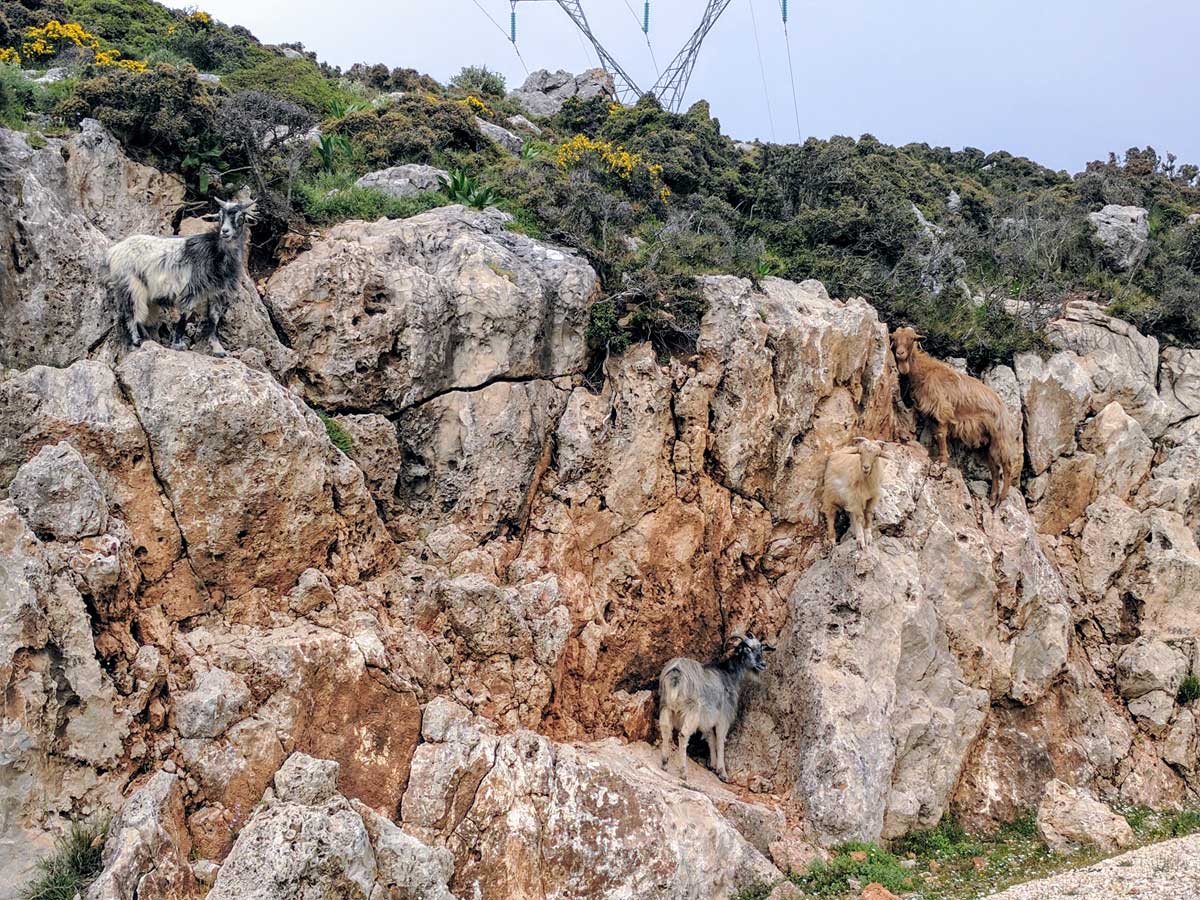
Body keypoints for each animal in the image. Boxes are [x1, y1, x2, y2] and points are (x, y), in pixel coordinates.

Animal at [107, 198, 255, 356]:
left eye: (241, 217)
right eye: (220, 217)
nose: (225, 231)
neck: (215, 253)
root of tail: (113, 251)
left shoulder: (218, 293)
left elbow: (214, 318)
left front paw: (218, 349)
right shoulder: (191, 289)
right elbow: (185, 314)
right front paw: (178, 344)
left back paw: (147, 338)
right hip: (131, 284)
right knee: (131, 313)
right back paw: (137, 341)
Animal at [658, 632, 773, 784]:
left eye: (761, 648)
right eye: (747, 649)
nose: (763, 664)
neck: (728, 675)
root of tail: (676, 673)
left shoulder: (706, 719)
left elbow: (710, 737)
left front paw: (712, 764)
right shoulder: (723, 716)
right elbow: (719, 740)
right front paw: (722, 772)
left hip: (666, 706)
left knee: (666, 729)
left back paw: (664, 764)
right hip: (692, 710)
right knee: (683, 735)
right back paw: (683, 772)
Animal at [891, 326, 1020, 506]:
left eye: (911, 339)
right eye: (894, 339)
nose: (900, 354)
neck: (924, 370)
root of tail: (1003, 408)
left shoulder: (942, 409)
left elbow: (940, 435)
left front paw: (943, 462)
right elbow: (936, 435)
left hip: (1001, 437)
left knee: (1007, 466)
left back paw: (1002, 497)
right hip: (987, 443)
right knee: (994, 469)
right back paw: (993, 498)